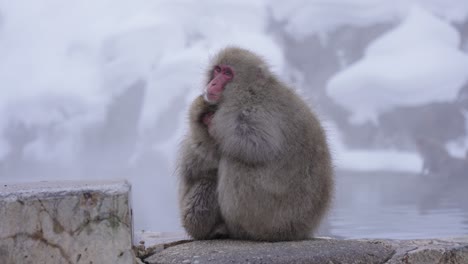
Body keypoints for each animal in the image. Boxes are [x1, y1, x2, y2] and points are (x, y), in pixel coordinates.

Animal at [176, 47, 332, 241]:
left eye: (228, 73)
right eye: (217, 70)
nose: (212, 83)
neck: (249, 88)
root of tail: (302, 229)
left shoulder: (253, 108)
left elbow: (258, 143)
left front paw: (214, 125)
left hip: (270, 215)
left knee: (234, 161)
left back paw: (233, 229)